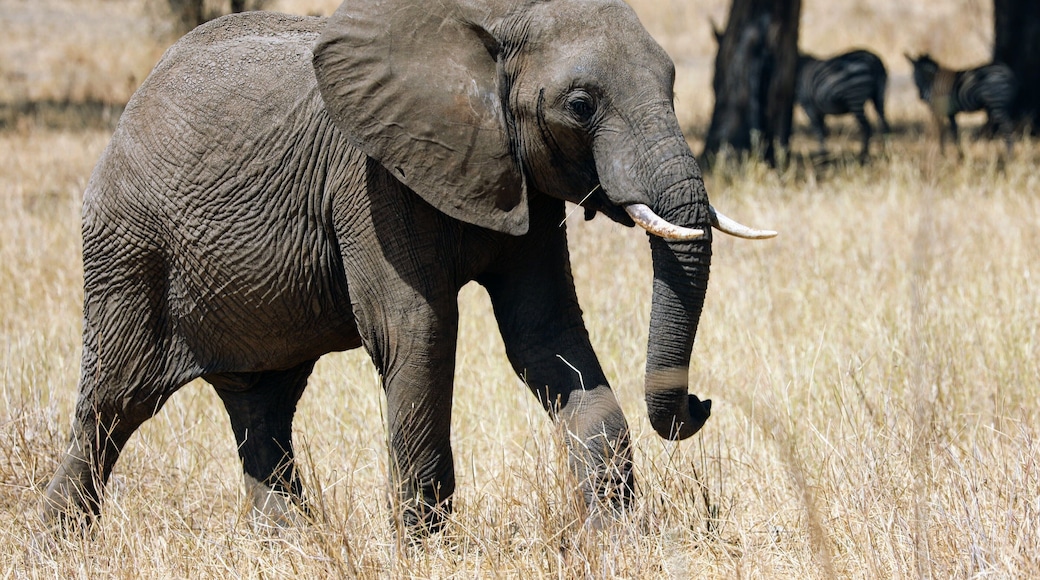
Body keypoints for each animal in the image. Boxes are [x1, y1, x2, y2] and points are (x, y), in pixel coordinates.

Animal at [42, 0, 775, 534]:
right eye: (580, 106)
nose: (701, 404)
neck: (494, 23)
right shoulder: (372, 180)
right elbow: (416, 332)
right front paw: (426, 548)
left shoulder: (523, 182)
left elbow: (548, 338)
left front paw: (618, 538)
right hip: (127, 248)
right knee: (114, 404)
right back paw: (59, 545)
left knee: (263, 404)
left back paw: (291, 545)